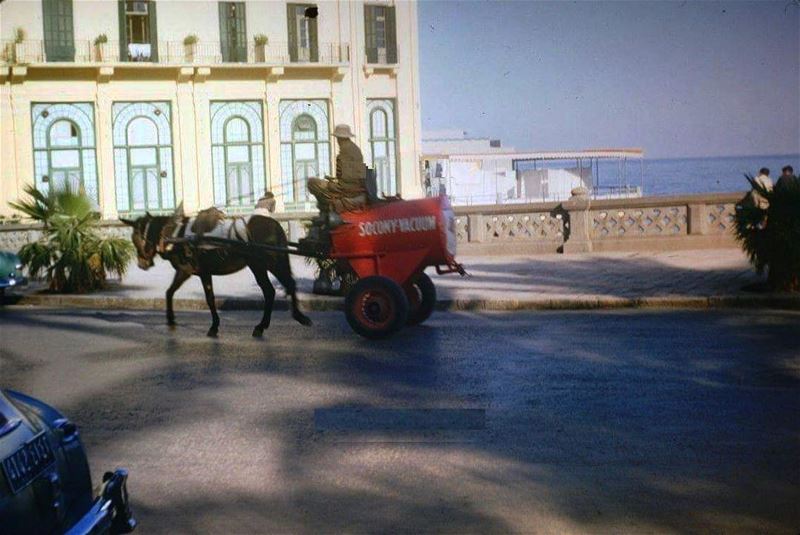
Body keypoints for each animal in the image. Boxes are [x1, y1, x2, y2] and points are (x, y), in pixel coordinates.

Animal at [120, 211, 310, 338]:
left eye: (136, 238)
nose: (142, 264)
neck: (176, 235)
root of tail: (275, 225)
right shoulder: (198, 272)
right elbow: (185, 294)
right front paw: (211, 325)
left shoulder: (187, 270)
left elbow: (190, 295)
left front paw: (176, 321)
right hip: (262, 265)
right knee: (275, 289)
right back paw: (266, 325)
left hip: (267, 263)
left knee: (282, 286)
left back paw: (294, 318)